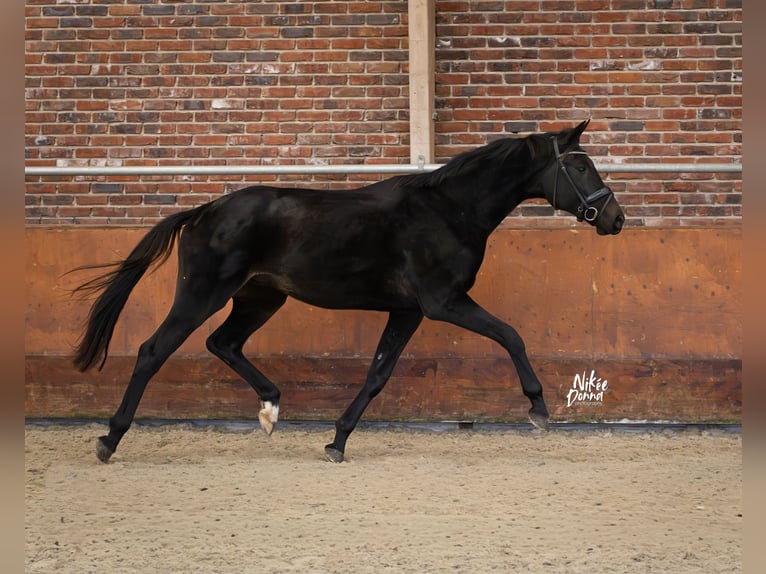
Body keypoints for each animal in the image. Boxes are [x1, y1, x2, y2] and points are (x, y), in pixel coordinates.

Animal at [72, 119, 624, 463]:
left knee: (222, 343)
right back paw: (109, 439)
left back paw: (271, 409)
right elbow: (511, 335)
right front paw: (538, 411)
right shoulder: (442, 304)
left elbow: (378, 374)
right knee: (153, 350)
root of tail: (203, 211)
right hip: (201, 295)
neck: (449, 210)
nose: (614, 218)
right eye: (580, 167)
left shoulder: (408, 311)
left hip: (261, 298)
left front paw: (336, 441)